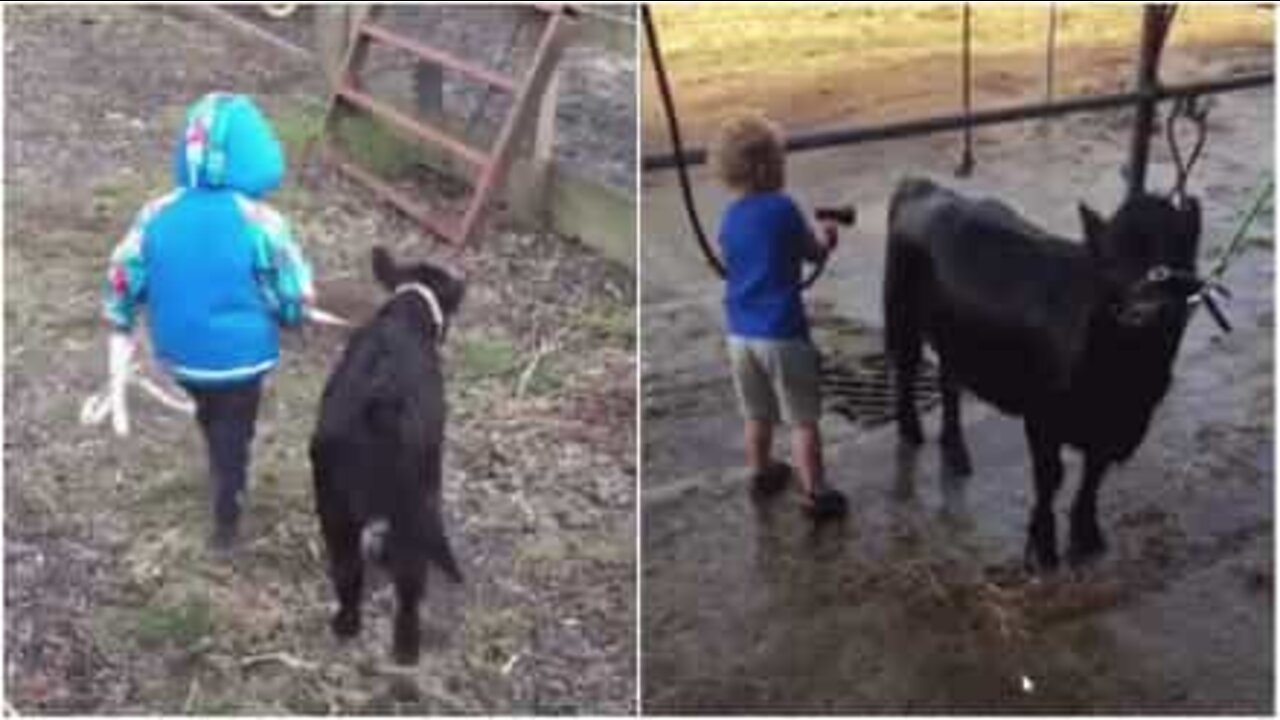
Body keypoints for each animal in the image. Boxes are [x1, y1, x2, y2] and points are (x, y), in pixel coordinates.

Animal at [309, 244, 465, 661]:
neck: (407, 313)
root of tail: (380, 407)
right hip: (412, 508)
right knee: (410, 584)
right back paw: (406, 649)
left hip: (334, 508)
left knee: (348, 572)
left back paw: (345, 625)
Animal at [885, 176, 1203, 568]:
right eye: (1111, 263)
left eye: (1175, 259)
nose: (1145, 312)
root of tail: (922, 185)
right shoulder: (1041, 417)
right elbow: (1050, 477)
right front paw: (1042, 545)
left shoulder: (1110, 430)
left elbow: (1092, 476)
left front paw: (1087, 535)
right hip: (902, 315)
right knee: (906, 369)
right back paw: (912, 432)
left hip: (953, 337)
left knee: (949, 382)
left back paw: (956, 451)